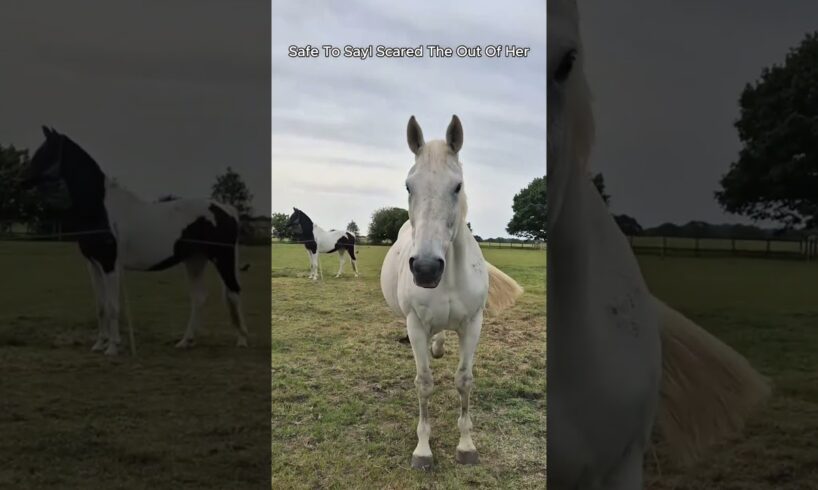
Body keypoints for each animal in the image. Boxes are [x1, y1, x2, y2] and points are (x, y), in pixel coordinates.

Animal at [20, 126, 250, 356]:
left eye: (46, 152)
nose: (23, 181)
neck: (102, 210)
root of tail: (227, 210)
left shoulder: (110, 264)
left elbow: (112, 306)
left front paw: (112, 347)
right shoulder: (93, 264)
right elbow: (101, 306)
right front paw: (99, 344)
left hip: (222, 258)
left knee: (234, 292)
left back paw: (241, 340)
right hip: (195, 260)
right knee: (199, 297)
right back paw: (186, 341)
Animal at [380, 115, 524, 470]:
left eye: (457, 186)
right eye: (409, 186)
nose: (426, 268)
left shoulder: (473, 324)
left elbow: (464, 381)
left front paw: (466, 445)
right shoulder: (416, 325)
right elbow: (424, 384)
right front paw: (422, 449)